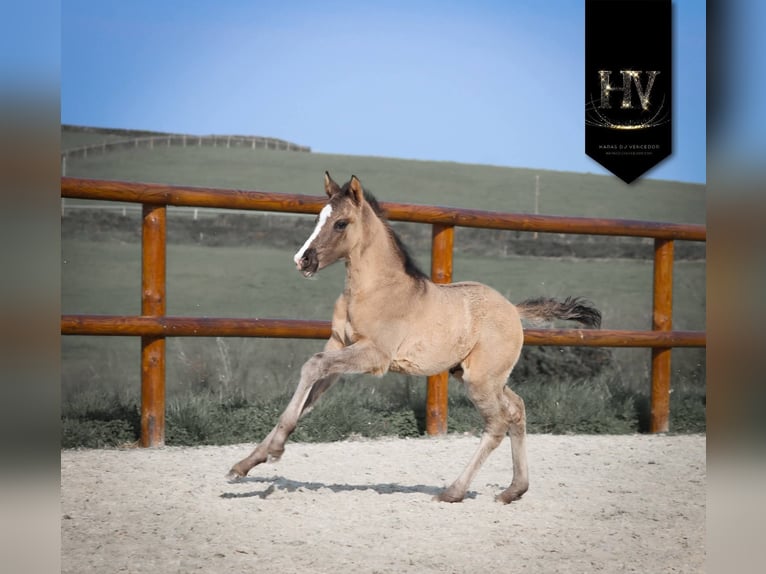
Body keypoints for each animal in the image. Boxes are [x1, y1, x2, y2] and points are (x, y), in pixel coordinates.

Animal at [228, 172, 601, 503]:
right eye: (318, 218)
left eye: (341, 224)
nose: (303, 260)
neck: (372, 289)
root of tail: (513, 309)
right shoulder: (339, 347)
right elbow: (309, 396)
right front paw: (245, 464)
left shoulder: (374, 356)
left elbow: (311, 366)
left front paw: (274, 451)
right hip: (479, 376)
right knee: (517, 409)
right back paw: (513, 490)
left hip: (481, 381)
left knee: (497, 424)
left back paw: (453, 491)